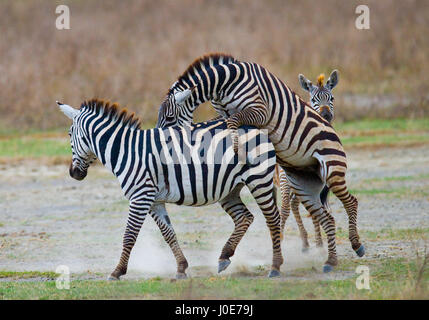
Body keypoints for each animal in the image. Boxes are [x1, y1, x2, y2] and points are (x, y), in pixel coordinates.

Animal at [57, 99, 284, 278]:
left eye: (69, 134)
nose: (74, 174)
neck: (126, 151)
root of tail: (255, 126)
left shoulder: (140, 197)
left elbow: (129, 235)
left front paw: (117, 272)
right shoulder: (154, 201)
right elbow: (168, 233)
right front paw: (181, 268)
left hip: (258, 179)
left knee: (272, 219)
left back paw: (275, 267)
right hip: (230, 189)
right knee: (245, 217)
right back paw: (224, 257)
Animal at [274, 71, 338, 251]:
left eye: (332, 98)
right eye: (314, 99)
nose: (326, 116)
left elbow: (315, 210)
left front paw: (319, 243)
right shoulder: (285, 179)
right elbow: (284, 209)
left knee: (296, 205)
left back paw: (306, 242)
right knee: (287, 206)